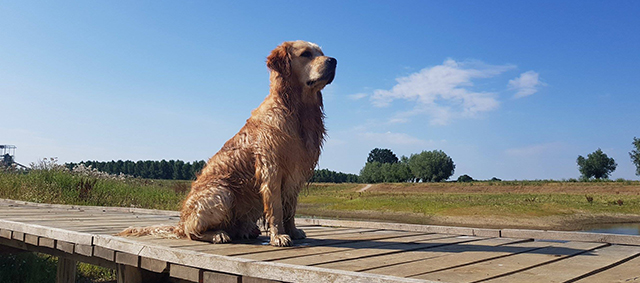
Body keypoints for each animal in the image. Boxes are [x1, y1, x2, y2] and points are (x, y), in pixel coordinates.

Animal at [117, 41, 336, 247]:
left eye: (321, 53)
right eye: (306, 54)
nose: (333, 61)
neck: (296, 109)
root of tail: (179, 223)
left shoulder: (295, 174)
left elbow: (290, 207)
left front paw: (293, 231)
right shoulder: (271, 168)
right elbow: (276, 209)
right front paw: (279, 236)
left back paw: (245, 231)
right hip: (222, 192)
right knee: (191, 231)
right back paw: (218, 234)